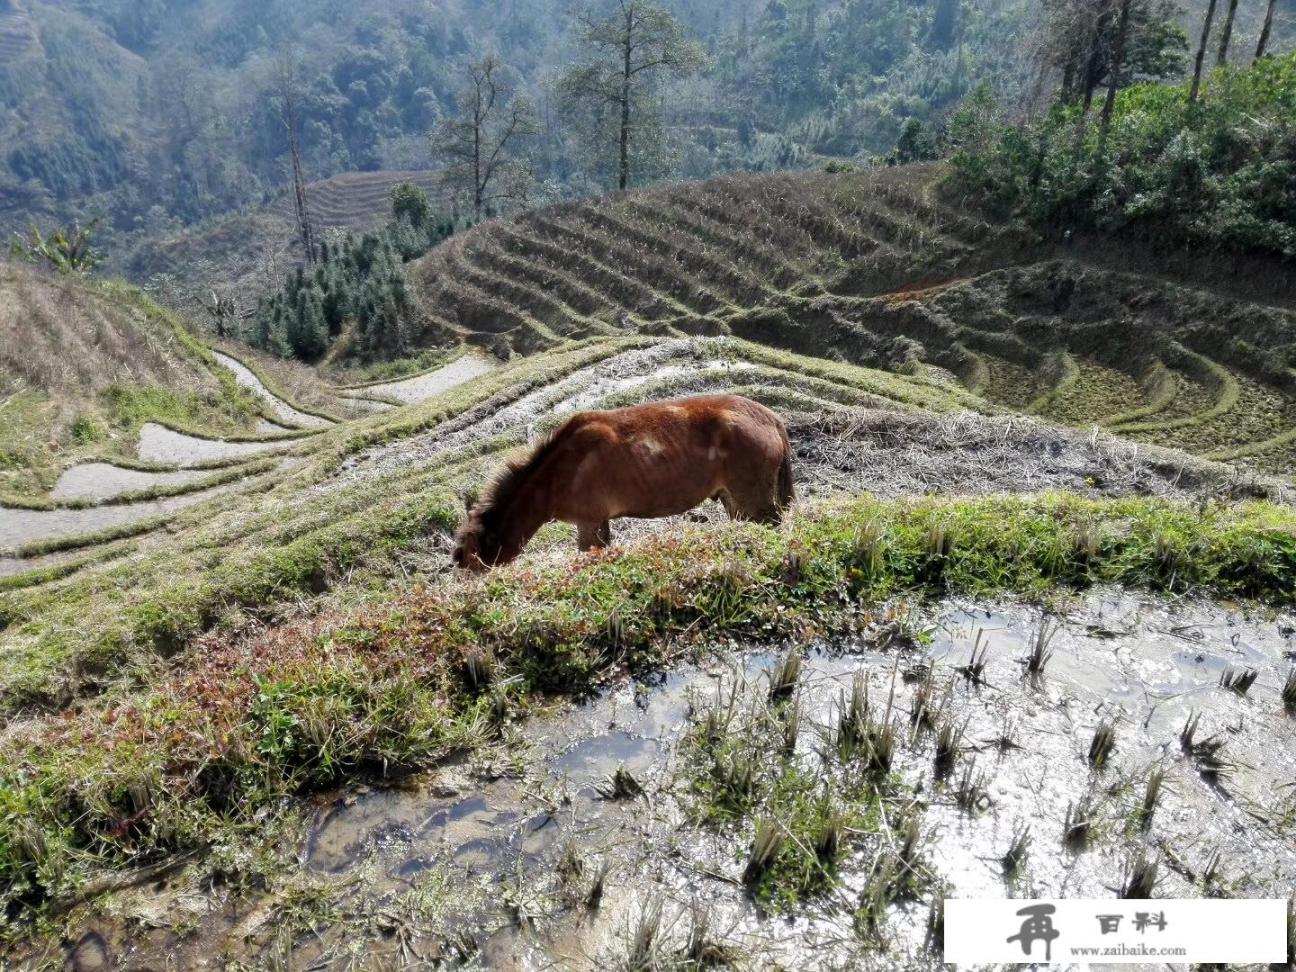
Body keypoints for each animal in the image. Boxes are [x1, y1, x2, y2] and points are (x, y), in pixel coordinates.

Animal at [451, 393, 793, 575]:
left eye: (469, 559)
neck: (556, 474)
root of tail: (772, 419)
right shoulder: (598, 521)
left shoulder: (589, 521)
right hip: (732, 498)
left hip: (752, 496)